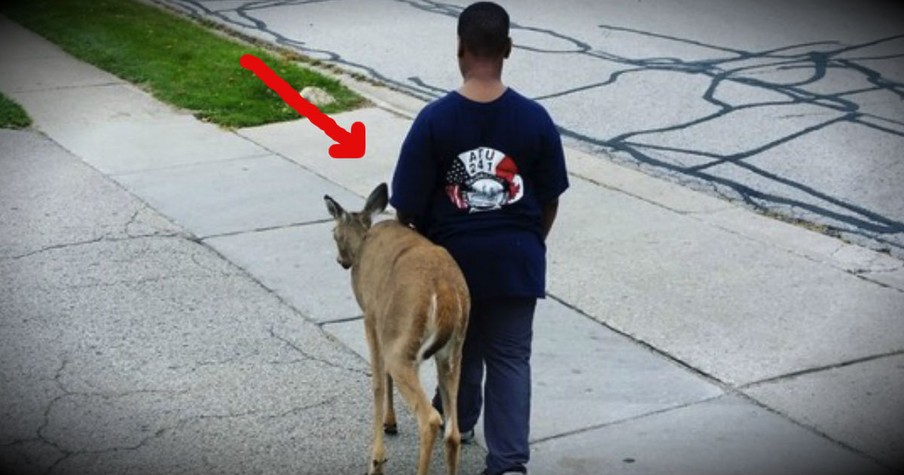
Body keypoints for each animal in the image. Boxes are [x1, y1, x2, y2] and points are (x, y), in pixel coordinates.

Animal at [322, 183, 470, 475]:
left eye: (333, 233)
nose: (340, 261)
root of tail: (446, 292)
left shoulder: (371, 317)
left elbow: (378, 382)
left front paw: (377, 458)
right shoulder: (386, 329)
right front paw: (390, 422)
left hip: (404, 342)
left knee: (430, 419)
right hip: (452, 351)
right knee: (453, 432)